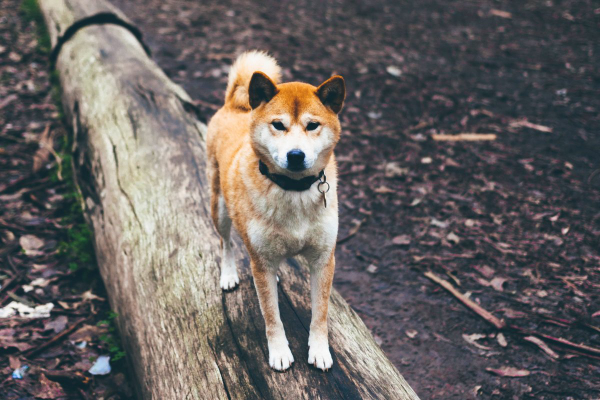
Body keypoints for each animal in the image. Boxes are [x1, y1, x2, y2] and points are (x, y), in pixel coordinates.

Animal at [207, 50, 344, 372]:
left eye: (312, 125)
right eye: (278, 125)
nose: (296, 155)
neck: (293, 190)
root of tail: (234, 105)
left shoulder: (323, 260)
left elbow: (320, 315)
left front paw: (320, 350)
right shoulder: (262, 262)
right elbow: (272, 316)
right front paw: (279, 351)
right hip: (220, 209)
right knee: (226, 242)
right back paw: (228, 274)